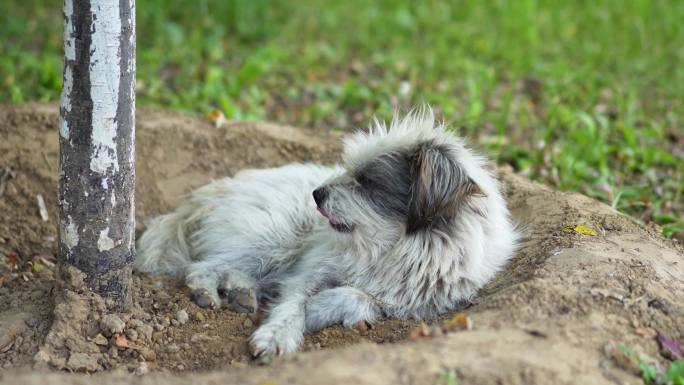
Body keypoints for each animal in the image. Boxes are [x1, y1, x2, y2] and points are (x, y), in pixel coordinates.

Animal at [135, 109, 520, 356]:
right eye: (348, 169)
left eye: (366, 182)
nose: (317, 194)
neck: (387, 249)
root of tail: (214, 190)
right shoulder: (309, 271)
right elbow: (293, 302)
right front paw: (278, 334)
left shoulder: (416, 304)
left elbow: (360, 298)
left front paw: (319, 308)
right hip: (274, 239)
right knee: (202, 267)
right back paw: (211, 291)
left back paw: (242, 293)